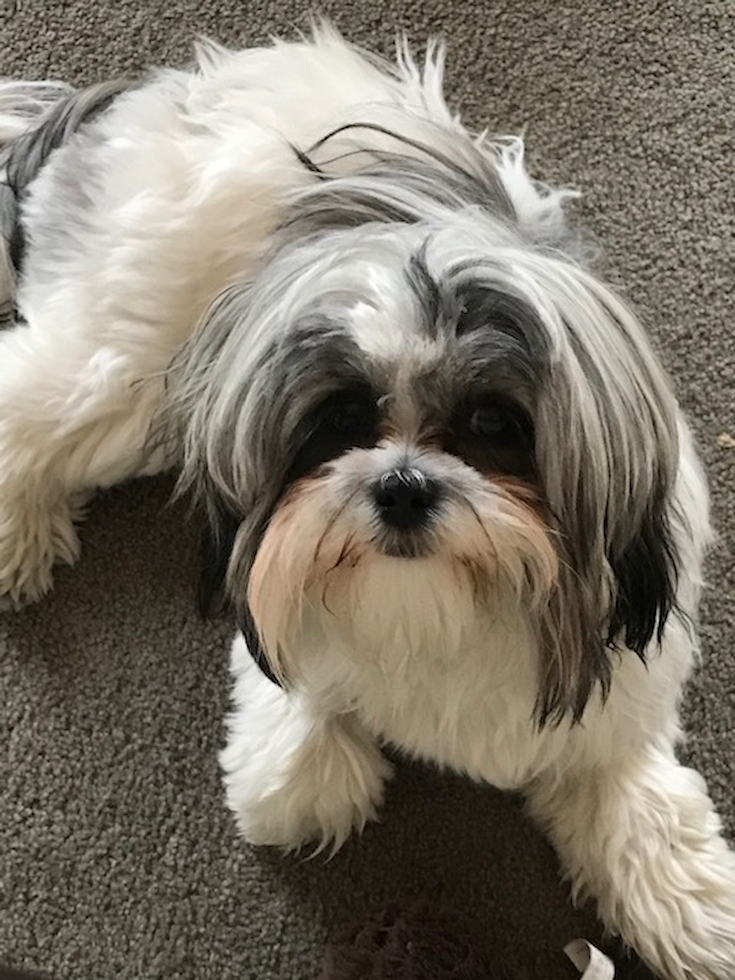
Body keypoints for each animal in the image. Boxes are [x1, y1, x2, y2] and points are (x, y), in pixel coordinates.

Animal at [1, 23, 735, 980]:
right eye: (343, 418)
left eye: (493, 423)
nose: (401, 482)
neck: (437, 606)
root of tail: (154, 89)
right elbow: (304, 769)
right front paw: (298, 776)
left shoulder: (620, 697)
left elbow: (634, 799)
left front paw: (688, 908)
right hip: (129, 366)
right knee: (27, 398)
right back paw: (19, 532)